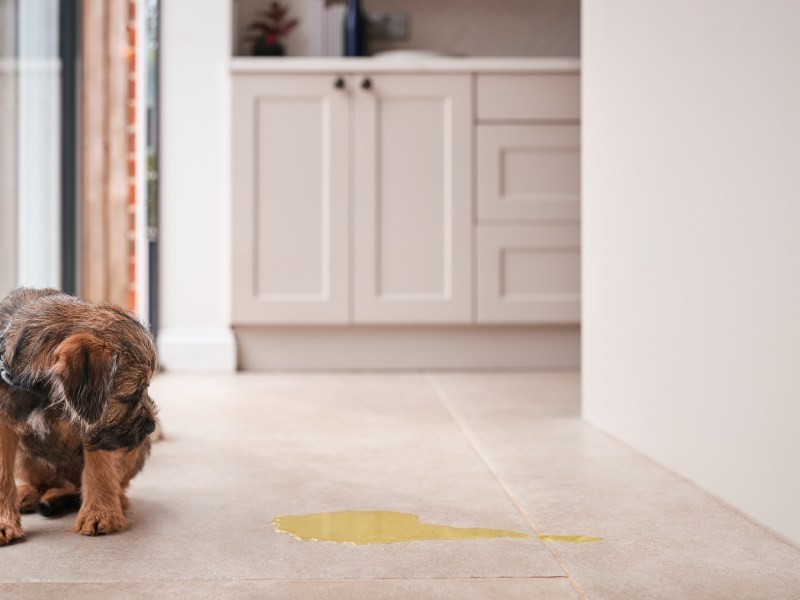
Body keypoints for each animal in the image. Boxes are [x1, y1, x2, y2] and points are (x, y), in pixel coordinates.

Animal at [0, 288, 158, 548]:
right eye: (130, 395)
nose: (151, 427)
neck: (44, 395)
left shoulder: (95, 426)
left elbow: (99, 467)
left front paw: (100, 514)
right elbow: (3, 473)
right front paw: (4, 522)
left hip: (133, 452)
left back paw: (117, 500)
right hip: (26, 457)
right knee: (46, 482)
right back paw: (28, 493)